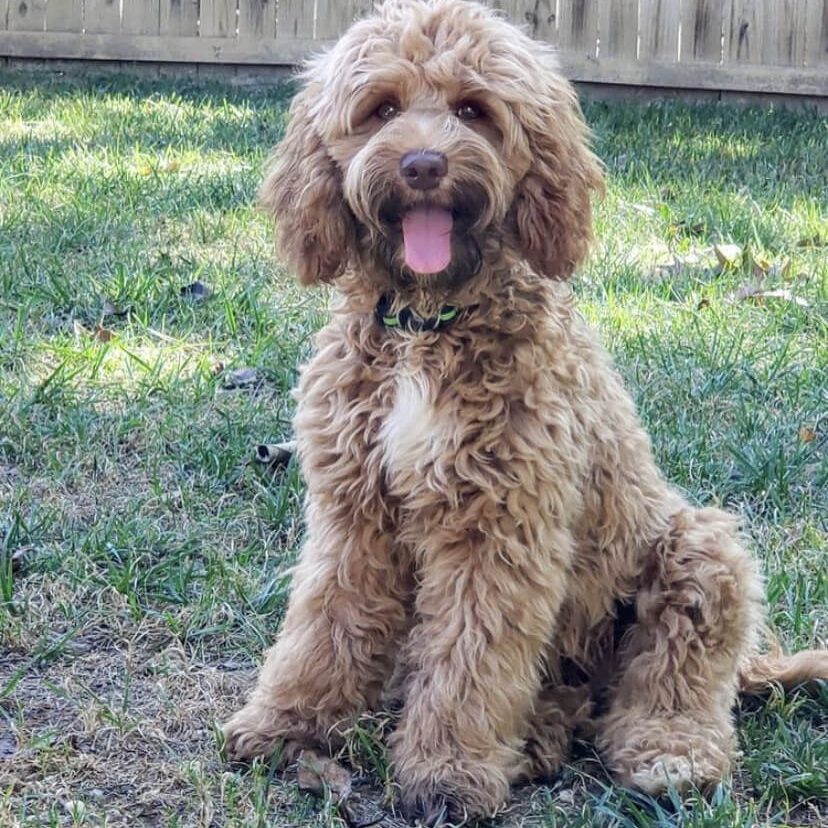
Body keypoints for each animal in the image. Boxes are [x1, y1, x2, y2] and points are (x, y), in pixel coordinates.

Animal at [222, 0, 828, 820]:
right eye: (381, 108)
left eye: (474, 110)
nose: (422, 166)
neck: (426, 325)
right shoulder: (354, 515)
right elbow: (326, 624)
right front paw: (287, 726)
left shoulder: (499, 525)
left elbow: (472, 659)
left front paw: (447, 772)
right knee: (568, 702)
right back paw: (537, 739)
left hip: (697, 552)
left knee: (676, 682)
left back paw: (666, 754)